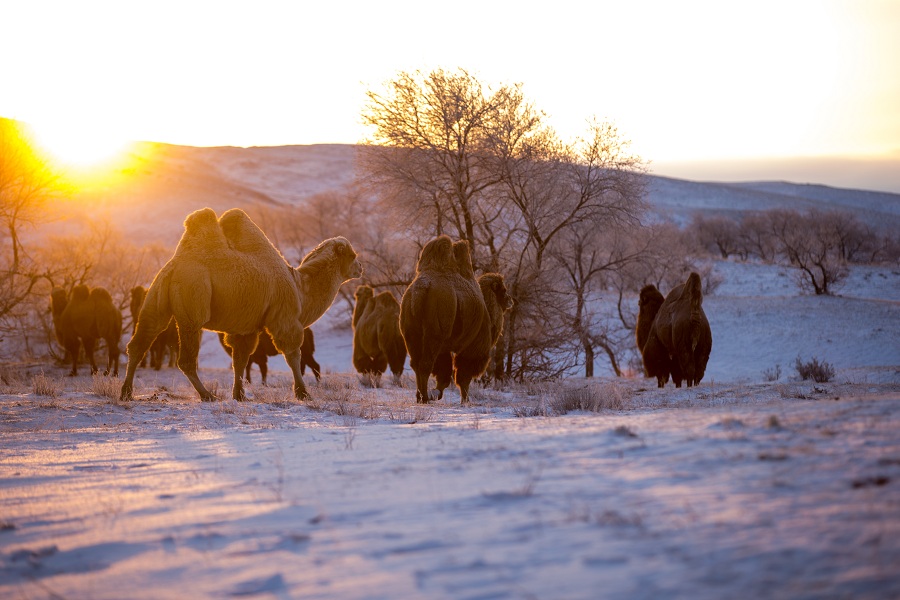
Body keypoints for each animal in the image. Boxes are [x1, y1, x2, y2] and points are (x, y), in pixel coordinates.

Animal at [118, 207, 358, 404]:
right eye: (352, 254)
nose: (361, 268)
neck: (300, 288)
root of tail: (174, 266)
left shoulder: (246, 328)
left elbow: (240, 359)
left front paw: (239, 395)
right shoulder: (285, 316)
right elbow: (292, 354)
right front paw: (303, 393)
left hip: (156, 296)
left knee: (140, 340)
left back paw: (126, 392)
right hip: (193, 297)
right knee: (185, 358)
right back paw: (207, 395)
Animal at [402, 234, 512, 404]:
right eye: (503, 289)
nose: (510, 300)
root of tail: (419, 291)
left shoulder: (445, 348)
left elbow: (444, 373)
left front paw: (437, 393)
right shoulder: (474, 346)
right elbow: (463, 375)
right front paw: (465, 400)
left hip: (411, 334)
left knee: (416, 363)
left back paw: (420, 396)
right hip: (434, 335)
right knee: (425, 364)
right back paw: (425, 397)